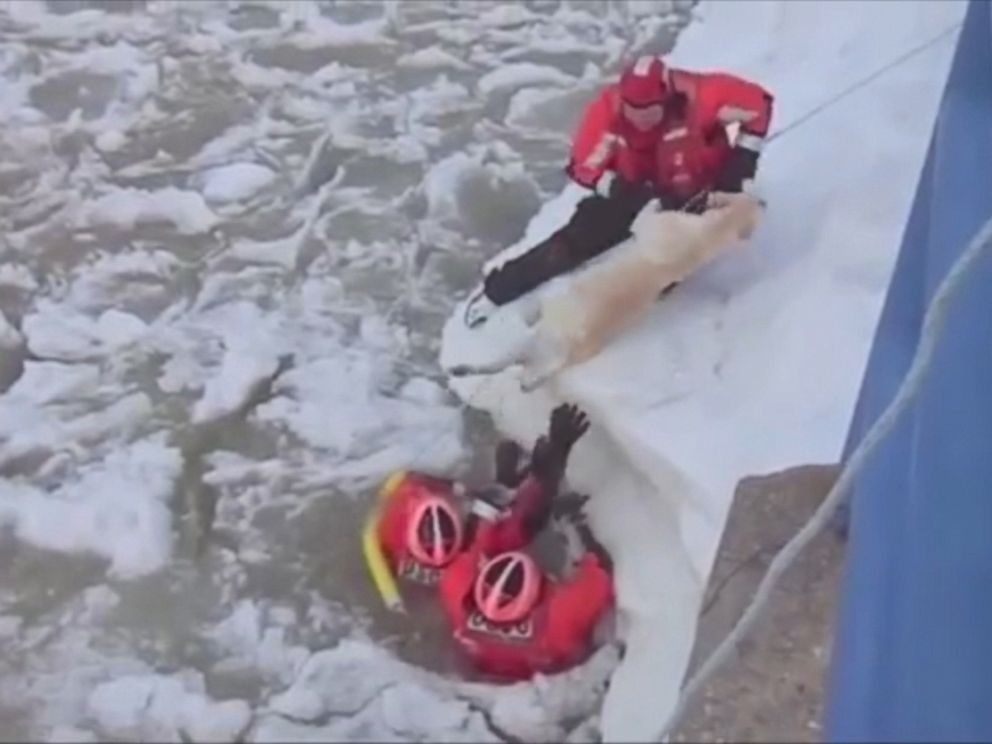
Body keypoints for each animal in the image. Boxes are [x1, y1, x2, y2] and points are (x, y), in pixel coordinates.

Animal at [450, 190, 768, 390]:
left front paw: (653, 201)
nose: (763, 201)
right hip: (555, 344)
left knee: (518, 358)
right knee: (522, 363)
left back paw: (477, 370)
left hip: (556, 335)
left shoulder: (668, 233)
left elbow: (644, 222)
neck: (711, 235)